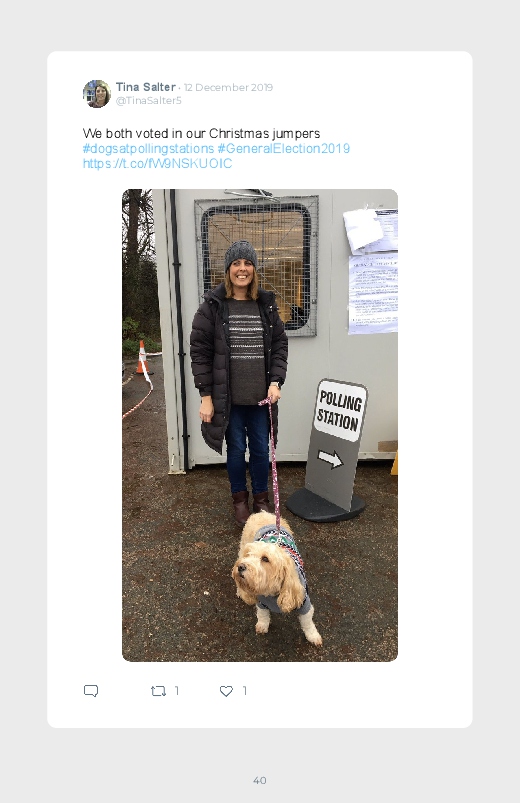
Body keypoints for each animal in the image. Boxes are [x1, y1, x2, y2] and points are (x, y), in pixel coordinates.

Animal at [231, 511, 322, 646]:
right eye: (248, 555)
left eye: (265, 559)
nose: (240, 567)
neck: (272, 592)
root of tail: (261, 513)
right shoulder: (261, 602)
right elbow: (262, 615)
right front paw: (262, 625)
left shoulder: (303, 602)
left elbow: (307, 622)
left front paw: (313, 635)